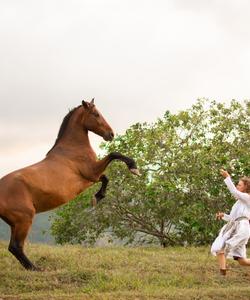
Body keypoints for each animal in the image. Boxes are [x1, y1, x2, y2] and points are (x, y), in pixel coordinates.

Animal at [0, 99, 140, 270]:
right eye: (96, 114)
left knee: (13, 247)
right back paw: (35, 268)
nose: (111, 134)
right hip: (24, 220)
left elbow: (105, 178)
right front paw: (134, 168)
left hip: (15, 223)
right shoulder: (92, 172)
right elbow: (114, 154)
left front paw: (97, 198)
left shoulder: (91, 177)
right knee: (15, 246)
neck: (72, 149)